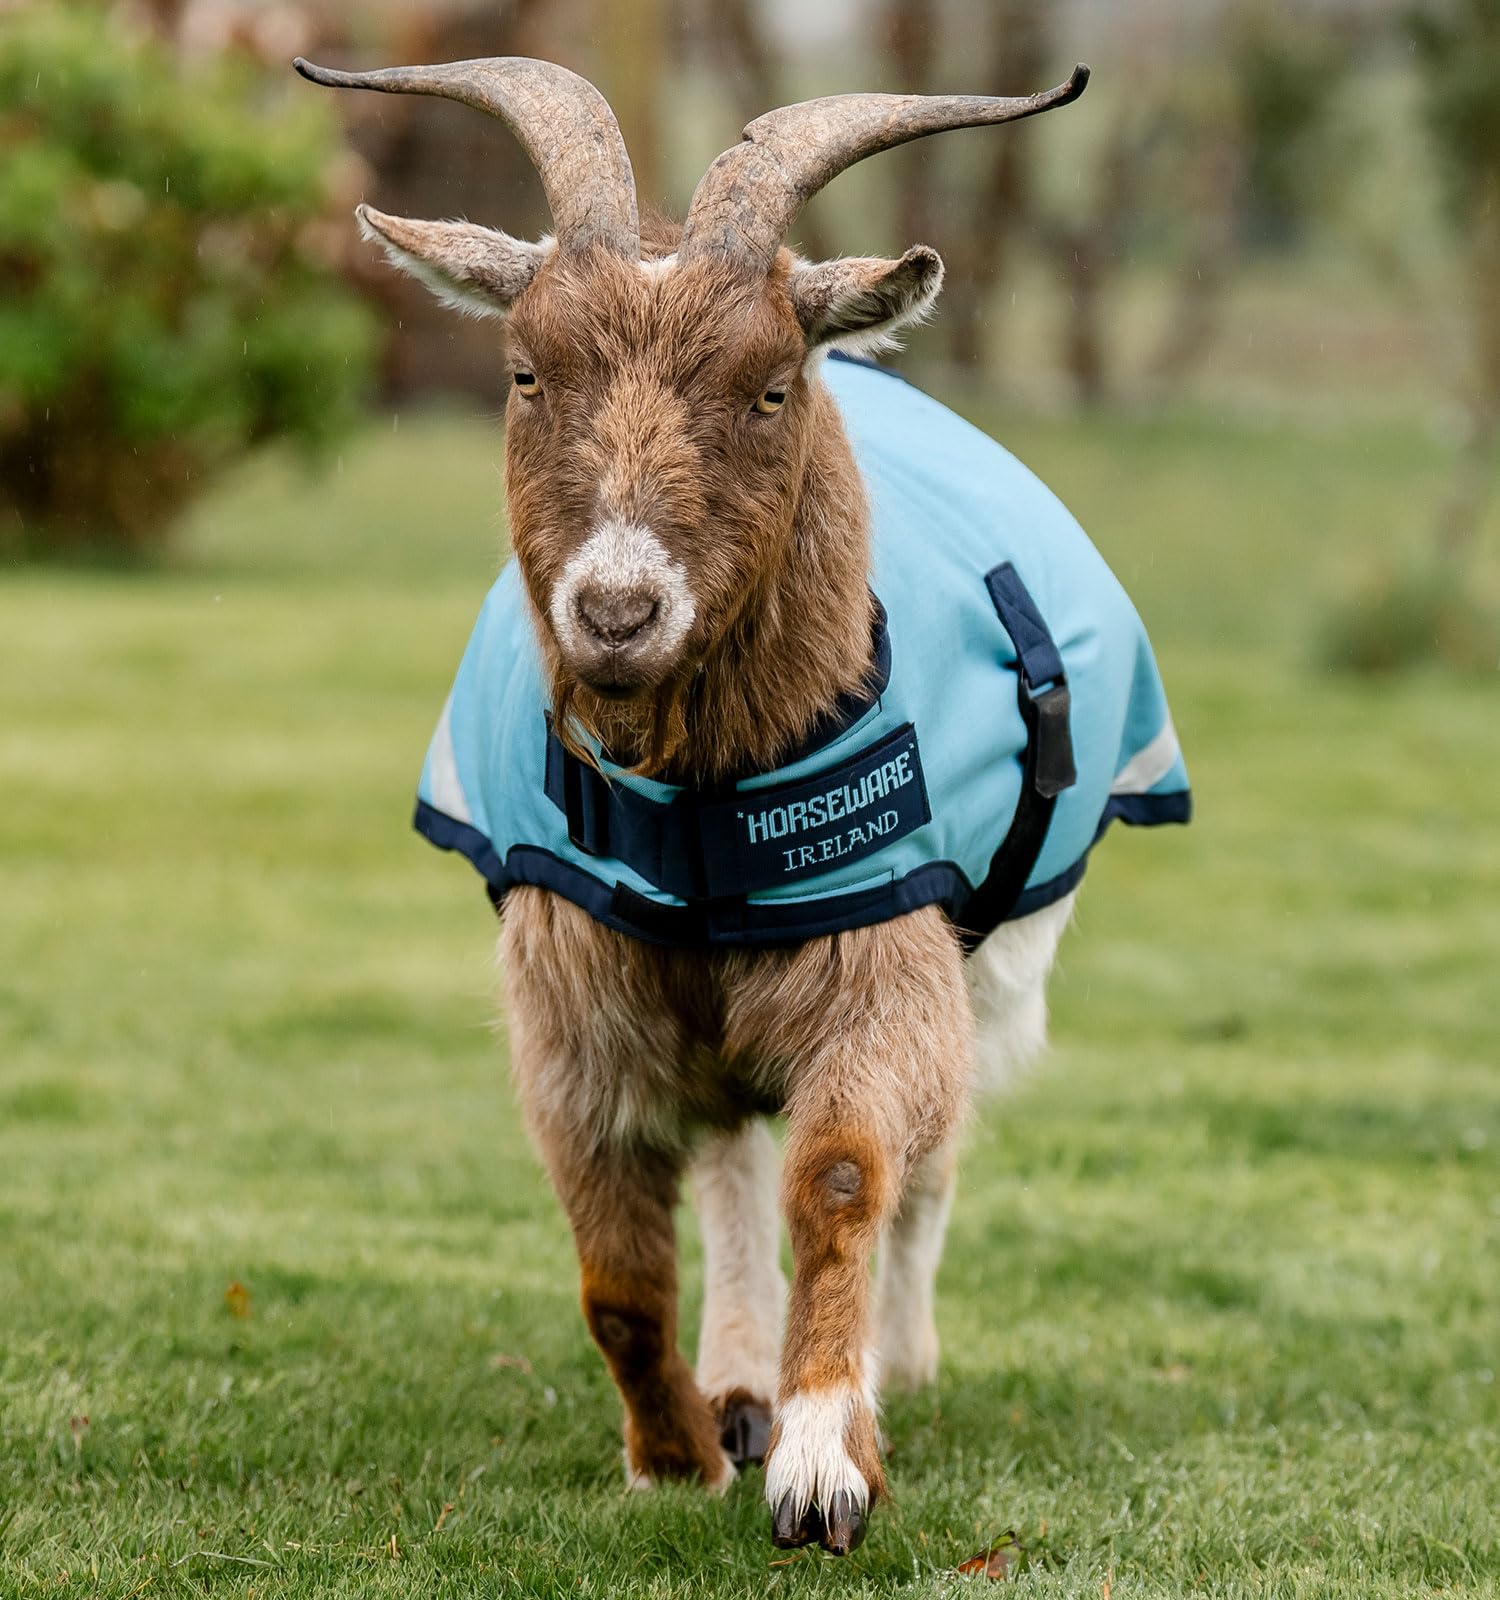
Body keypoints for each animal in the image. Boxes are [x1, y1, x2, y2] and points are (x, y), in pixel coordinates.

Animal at [295, 54, 1190, 1556]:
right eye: (527, 371)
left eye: (770, 389)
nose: (617, 609)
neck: (694, 803)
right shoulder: (574, 995)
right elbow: (615, 1269)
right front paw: (676, 1454)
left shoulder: (879, 959)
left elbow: (843, 1175)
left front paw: (827, 1460)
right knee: (720, 1149)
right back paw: (735, 1376)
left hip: (996, 960)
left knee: (930, 1159)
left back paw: (894, 1363)